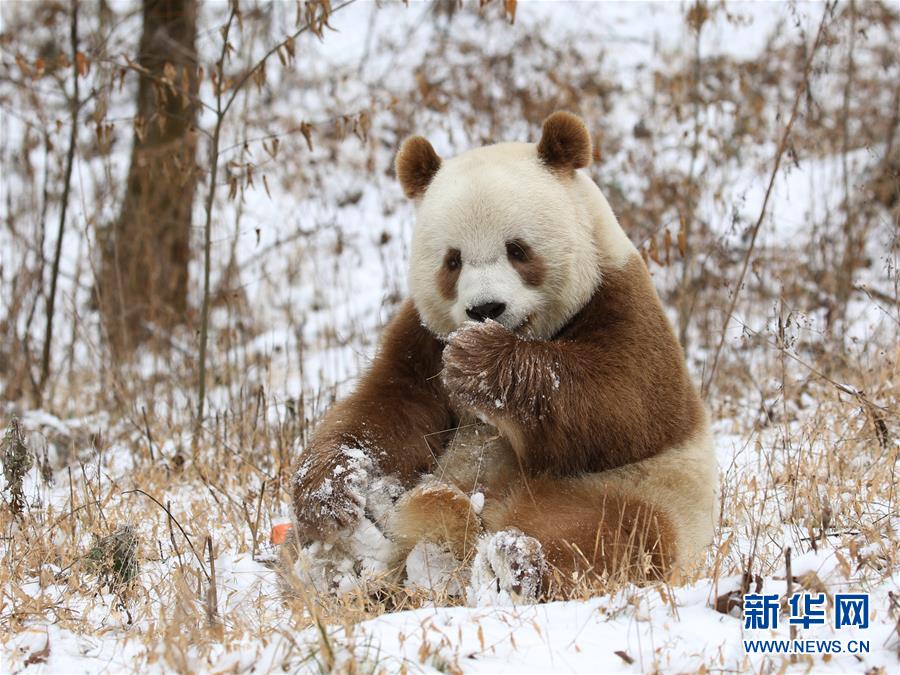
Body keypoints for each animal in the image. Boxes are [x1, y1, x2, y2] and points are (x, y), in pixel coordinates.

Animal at [291, 111, 718, 602]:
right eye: (452, 261)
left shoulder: (621, 300)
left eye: (518, 249)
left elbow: (625, 404)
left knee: (611, 534)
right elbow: (388, 412)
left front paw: (479, 361)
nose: (485, 309)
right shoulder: (421, 337)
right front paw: (334, 493)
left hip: (634, 490)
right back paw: (351, 569)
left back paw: (510, 562)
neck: (531, 334)